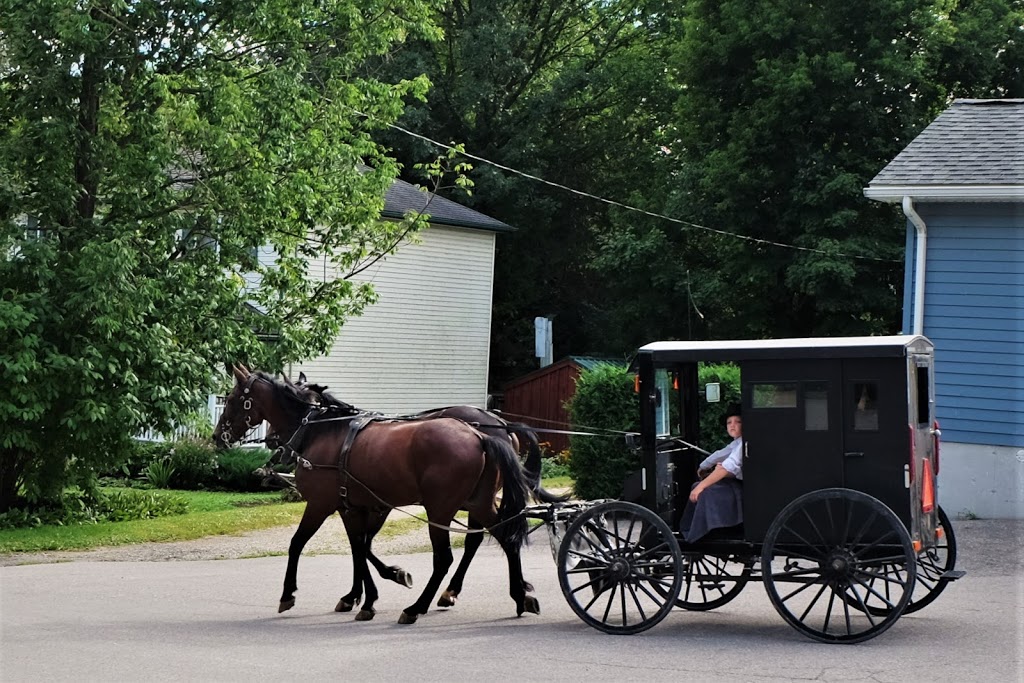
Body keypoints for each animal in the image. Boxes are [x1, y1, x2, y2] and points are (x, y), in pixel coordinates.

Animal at [211, 368, 540, 626]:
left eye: (232, 398)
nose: (217, 437)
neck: (321, 431)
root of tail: (481, 434)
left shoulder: (322, 504)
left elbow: (300, 544)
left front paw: (289, 594)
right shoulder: (357, 506)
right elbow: (359, 547)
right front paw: (366, 594)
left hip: (440, 509)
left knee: (446, 557)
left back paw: (418, 607)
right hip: (477, 502)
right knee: (506, 538)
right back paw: (518, 596)